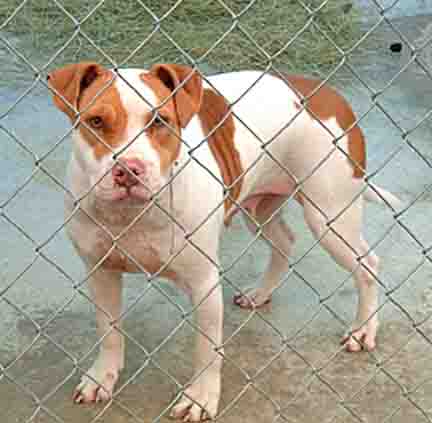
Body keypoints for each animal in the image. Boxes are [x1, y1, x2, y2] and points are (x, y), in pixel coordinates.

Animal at [47, 62, 400, 421]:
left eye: (160, 121)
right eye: (96, 122)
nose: (129, 169)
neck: (133, 215)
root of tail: (329, 94)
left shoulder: (204, 283)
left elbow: (206, 350)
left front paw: (201, 398)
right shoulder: (100, 272)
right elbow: (108, 332)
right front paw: (102, 377)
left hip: (330, 216)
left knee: (368, 265)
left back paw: (364, 329)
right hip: (261, 207)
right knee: (285, 241)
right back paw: (261, 293)